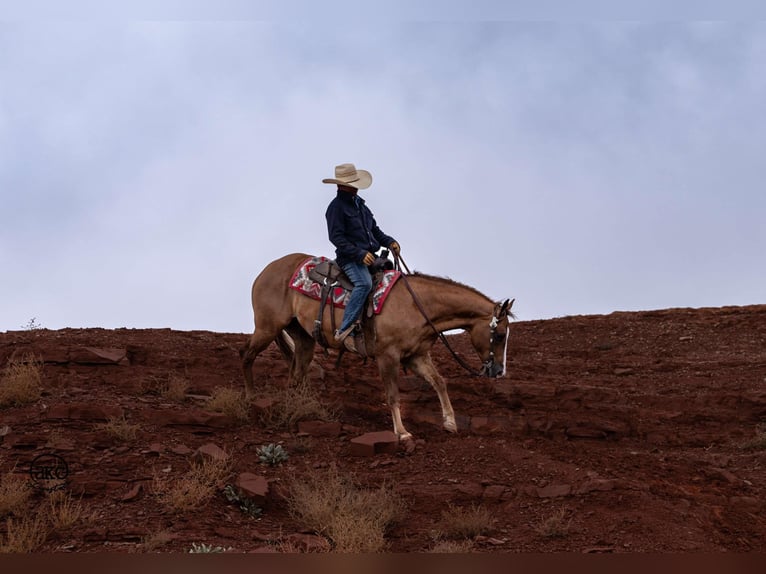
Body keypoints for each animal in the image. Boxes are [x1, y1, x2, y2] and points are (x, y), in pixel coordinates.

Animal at [240, 253, 516, 440]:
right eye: (501, 335)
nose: (498, 371)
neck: (417, 306)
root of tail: (266, 271)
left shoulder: (416, 356)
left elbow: (439, 382)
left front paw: (450, 423)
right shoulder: (388, 356)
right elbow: (393, 395)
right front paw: (402, 432)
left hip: (303, 338)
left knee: (295, 376)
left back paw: (299, 407)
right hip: (267, 327)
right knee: (246, 354)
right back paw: (250, 397)